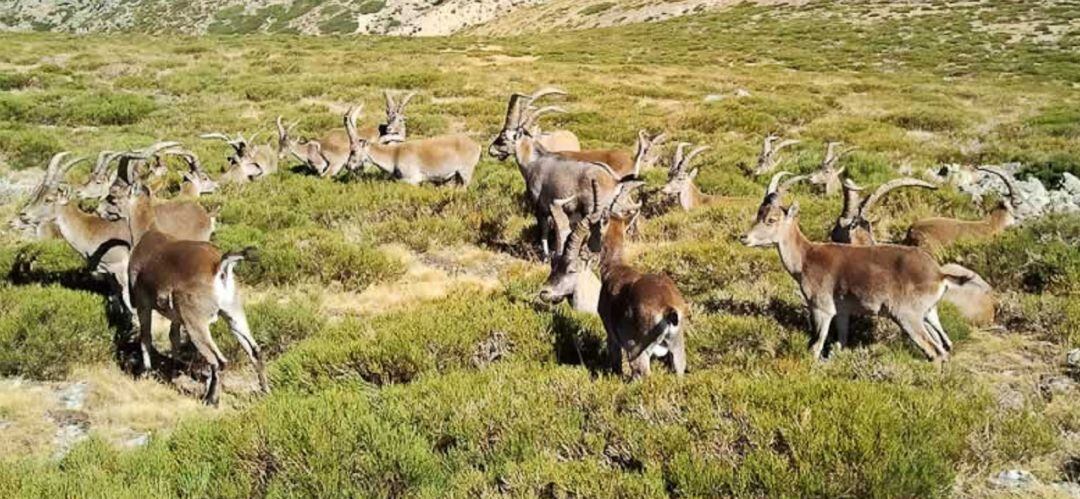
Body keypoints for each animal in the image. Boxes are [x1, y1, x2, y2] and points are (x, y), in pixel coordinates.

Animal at [125, 184, 267, 403]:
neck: (146, 233)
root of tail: (219, 266)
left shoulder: (143, 304)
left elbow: (146, 338)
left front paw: (145, 372)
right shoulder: (176, 317)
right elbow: (173, 337)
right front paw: (174, 370)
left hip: (196, 323)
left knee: (219, 360)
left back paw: (210, 400)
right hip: (233, 313)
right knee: (255, 350)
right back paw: (265, 391)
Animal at [345, 104, 481, 184]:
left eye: (353, 150)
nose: (348, 166)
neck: (395, 154)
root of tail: (476, 145)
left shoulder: (412, 180)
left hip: (466, 172)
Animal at [743, 173, 972, 360]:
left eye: (772, 219)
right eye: (759, 214)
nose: (744, 237)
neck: (807, 256)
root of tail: (939, 275)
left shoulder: (822, 308)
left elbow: (816, 346)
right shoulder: (842, 312)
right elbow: (840, 342)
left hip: (908, 316)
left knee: (934, 351)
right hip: (929, 314)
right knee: (944, 346)